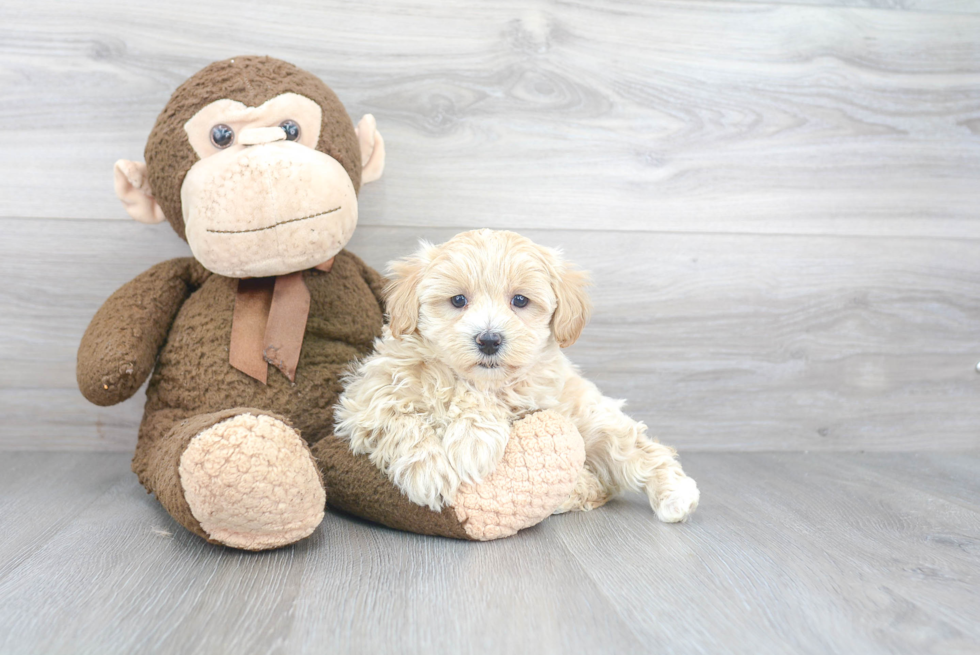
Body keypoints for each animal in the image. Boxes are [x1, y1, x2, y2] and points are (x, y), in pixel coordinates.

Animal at [334, 229, 700, 524]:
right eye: (458, 300)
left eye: (520, 300)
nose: (489, 340)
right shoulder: (367, 399)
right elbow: (401, 422)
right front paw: (430, 473)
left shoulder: (532, 388)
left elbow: (487, 400)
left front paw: (472, 443)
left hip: (592, 421)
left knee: (638, 451)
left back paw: (675, 495)